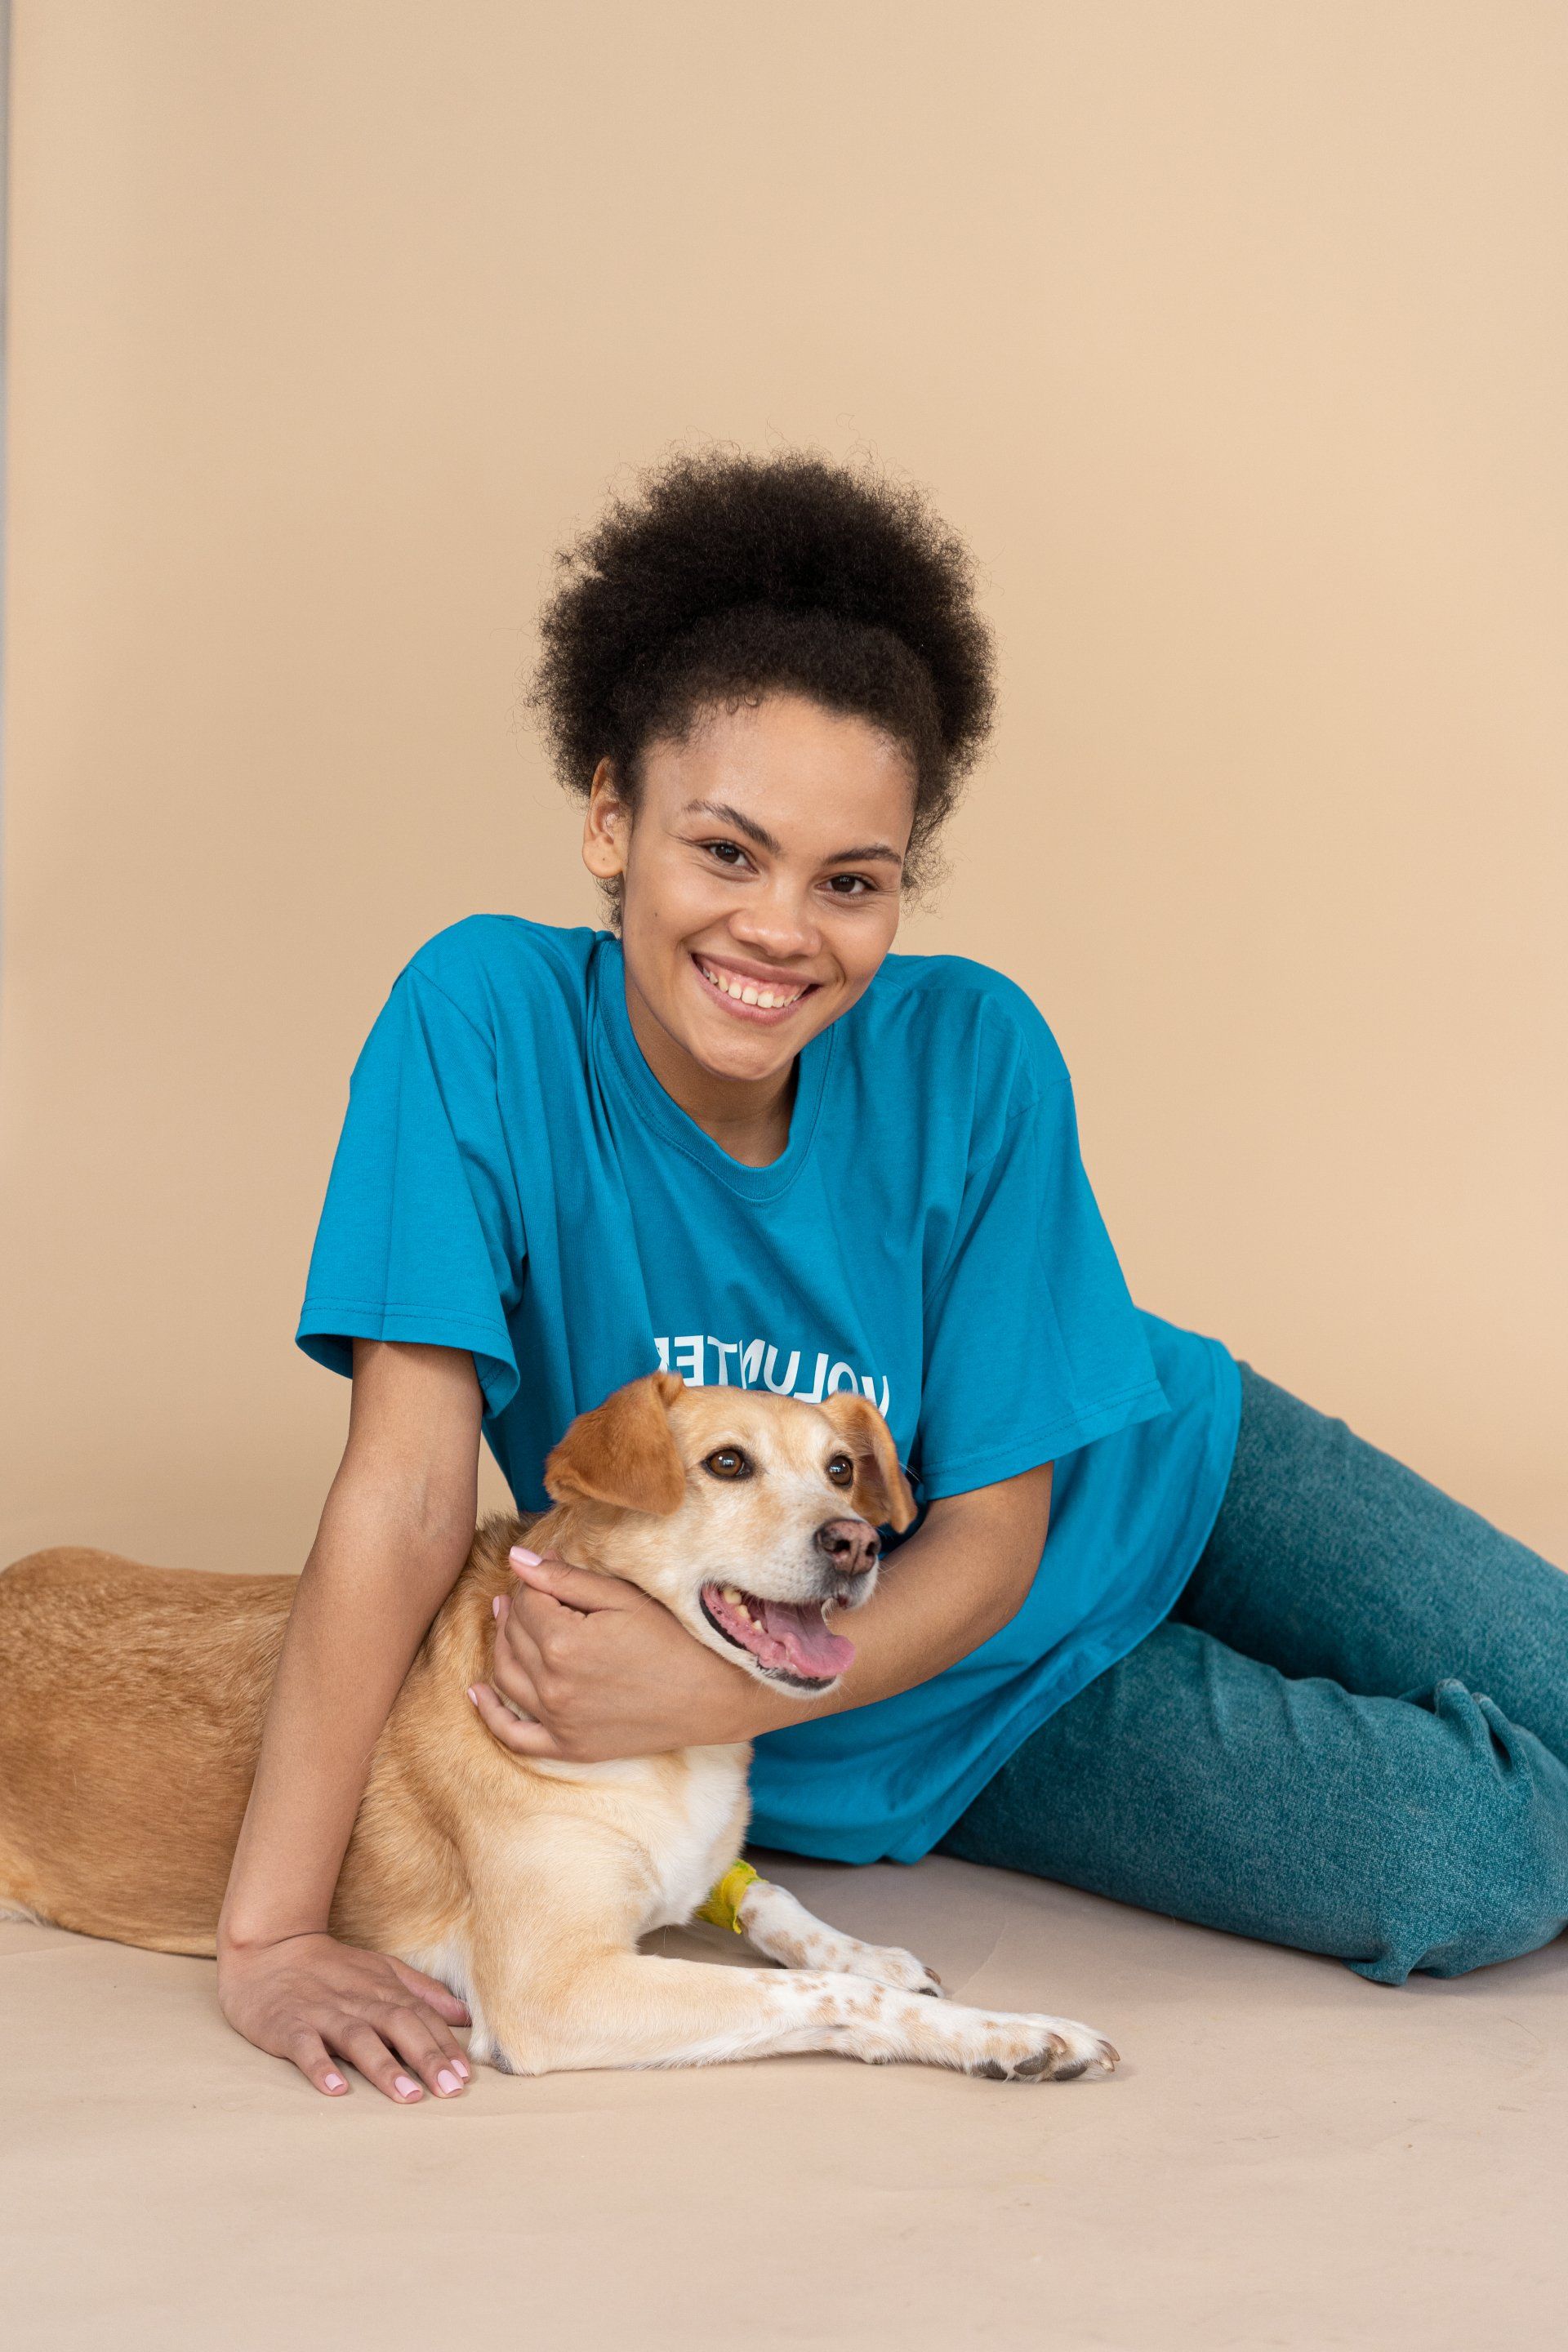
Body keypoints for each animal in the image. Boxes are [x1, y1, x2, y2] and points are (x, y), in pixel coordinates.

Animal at [2, 1373, 1128, 2088]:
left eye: (844, 1469)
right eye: (727, 1464)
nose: (855, 1544)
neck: (674, 1751)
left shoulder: (697, 1874)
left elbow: (779, 1905)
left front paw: (874, 1951)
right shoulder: (559, 1989)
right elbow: (821, 1997)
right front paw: (1006, 2029)